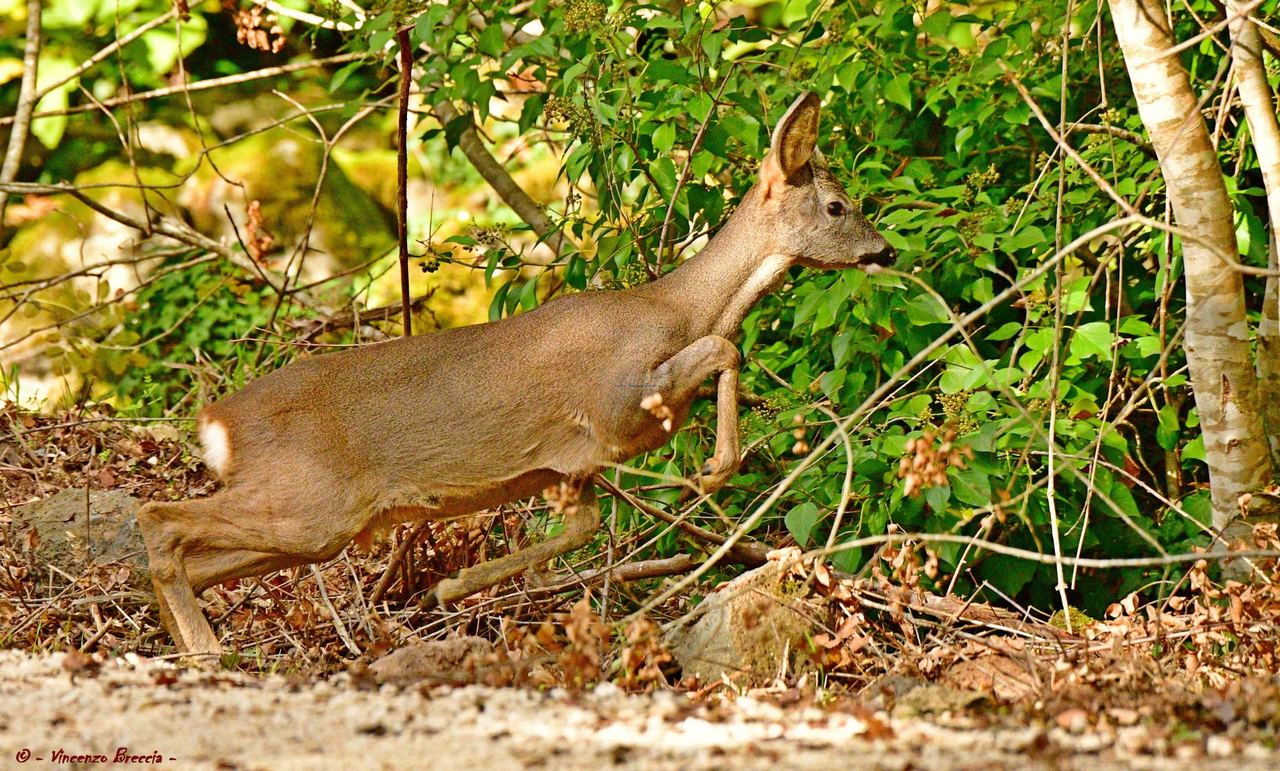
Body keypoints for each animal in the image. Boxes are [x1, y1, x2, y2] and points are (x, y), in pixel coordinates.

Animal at [137, 92, 895, 655]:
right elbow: (723, 351)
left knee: (192, 557)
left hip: (309, 522)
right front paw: (714, 470)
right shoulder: (614, 402)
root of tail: (214, 422)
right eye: (837, 206)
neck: (675, 307)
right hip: (310, 503)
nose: (885, 251)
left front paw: (451, 589)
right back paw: (205, 650)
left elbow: (581, 529)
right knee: (158, 521)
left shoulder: (573, 467)